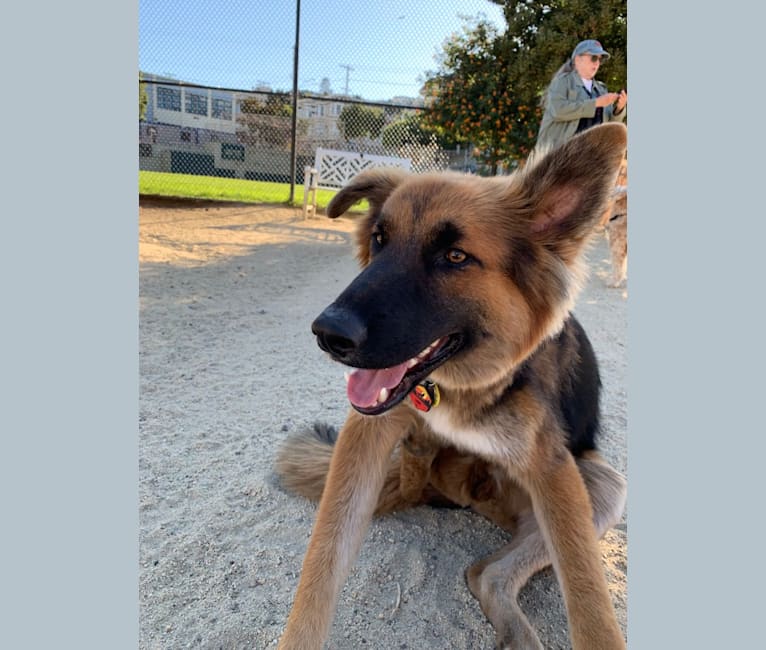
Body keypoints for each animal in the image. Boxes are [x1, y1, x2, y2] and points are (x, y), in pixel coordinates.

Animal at [276, 123, 632, 648]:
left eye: (455, 256)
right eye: (379, 240)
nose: (328, 333)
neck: (458, 389)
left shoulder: (553, 469)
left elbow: (590, 601)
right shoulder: (367, 432)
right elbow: (323, 561)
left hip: (604, 487)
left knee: (489, 573)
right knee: (481, 569)